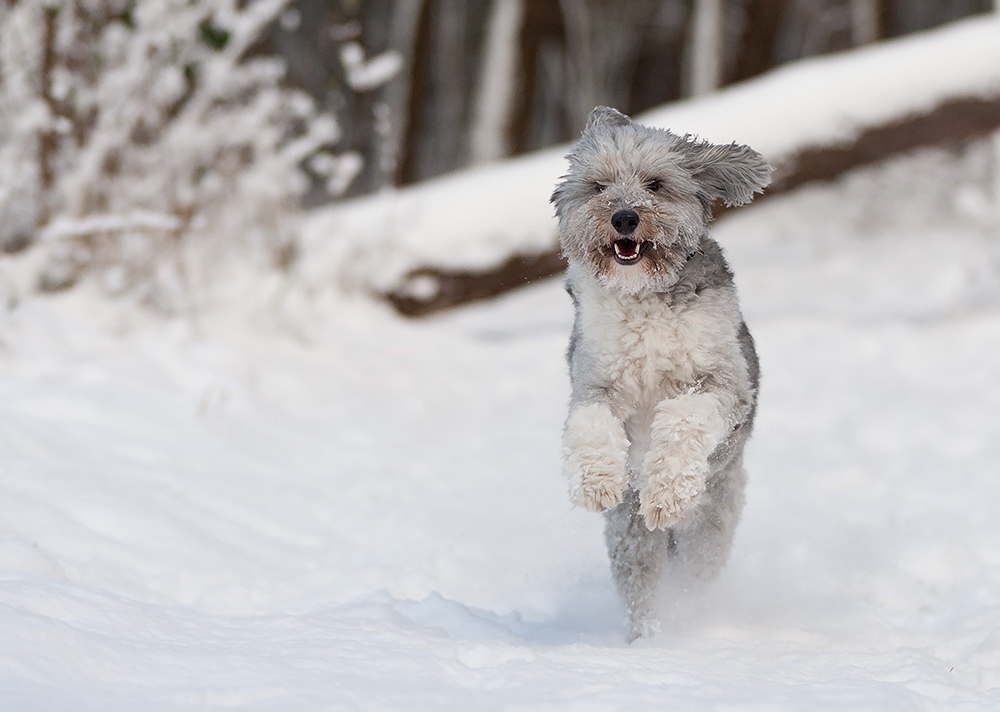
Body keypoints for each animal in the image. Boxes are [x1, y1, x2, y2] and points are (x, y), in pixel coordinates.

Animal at [552, 105, 768, 640]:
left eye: (655, 184)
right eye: (599, 186)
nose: (624, 217)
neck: (644, 296)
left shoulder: (725, 384)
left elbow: (684, 417)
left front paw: (666, 493)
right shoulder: (595, 381)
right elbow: (590, 424)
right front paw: (597, 482)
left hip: (709, 529)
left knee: (691, 580)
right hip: (630, 539)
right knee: (642, 587)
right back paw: (645, 638)